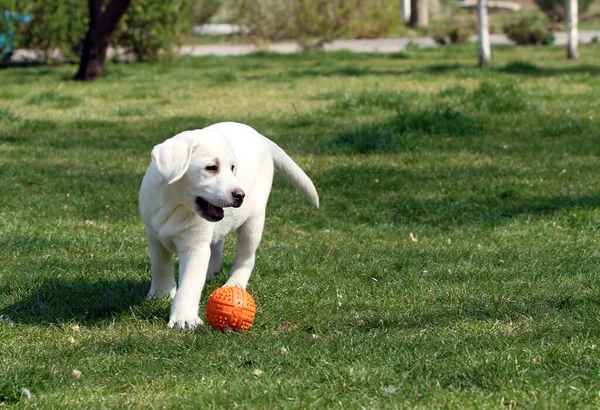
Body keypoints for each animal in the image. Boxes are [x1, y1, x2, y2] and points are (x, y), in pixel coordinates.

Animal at [139, 121, 318, 330]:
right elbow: (160, 266)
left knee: (245, 258)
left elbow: (190, 284)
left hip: (253, 223)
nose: (240, 195)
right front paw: (161, 294)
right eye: (211, 168)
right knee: (217, 244)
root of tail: (260, 136)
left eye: (233, 168)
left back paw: (235, 283)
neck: (175, 203)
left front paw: (184, 317)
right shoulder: (154, 236)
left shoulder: (195, 247)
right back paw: (211, 270)